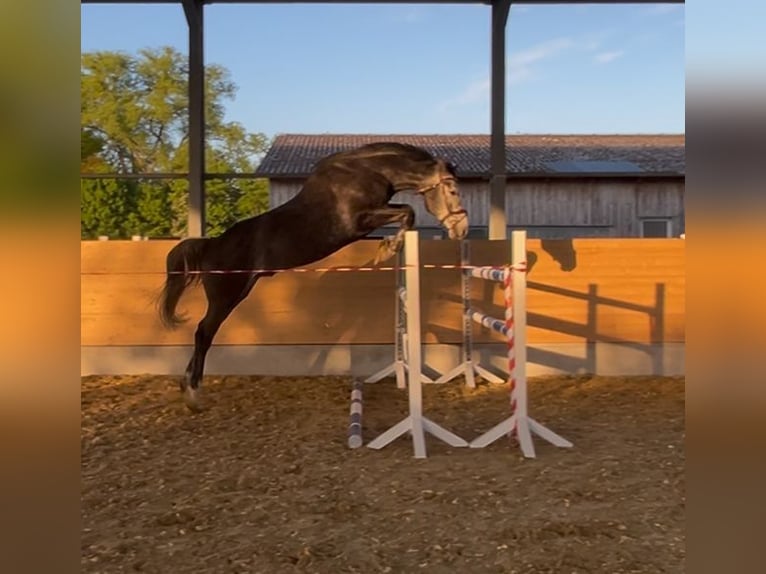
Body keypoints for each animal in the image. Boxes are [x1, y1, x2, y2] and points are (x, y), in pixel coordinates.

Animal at [157, 142, 469, 411]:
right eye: (453, 191)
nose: (462, 228)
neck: (368, 172)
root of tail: (212, 244)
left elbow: (405, 214)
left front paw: (389, 247)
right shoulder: (360, 222)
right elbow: (408, 212)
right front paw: (388, 249)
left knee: (203, 335)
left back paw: (186, 387)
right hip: (226, 297)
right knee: (203, 333)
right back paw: (194, 394)